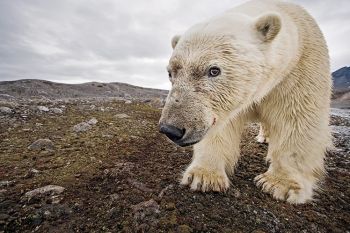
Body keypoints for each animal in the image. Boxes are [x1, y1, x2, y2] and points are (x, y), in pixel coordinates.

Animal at [159, 0, 330, 204]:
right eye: (171, 73)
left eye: (214, 70)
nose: (171, 129)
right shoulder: (226, 104)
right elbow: (222, 126)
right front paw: (204, 177)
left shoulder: (299, 70)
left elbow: (297, 119)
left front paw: (280, 185)